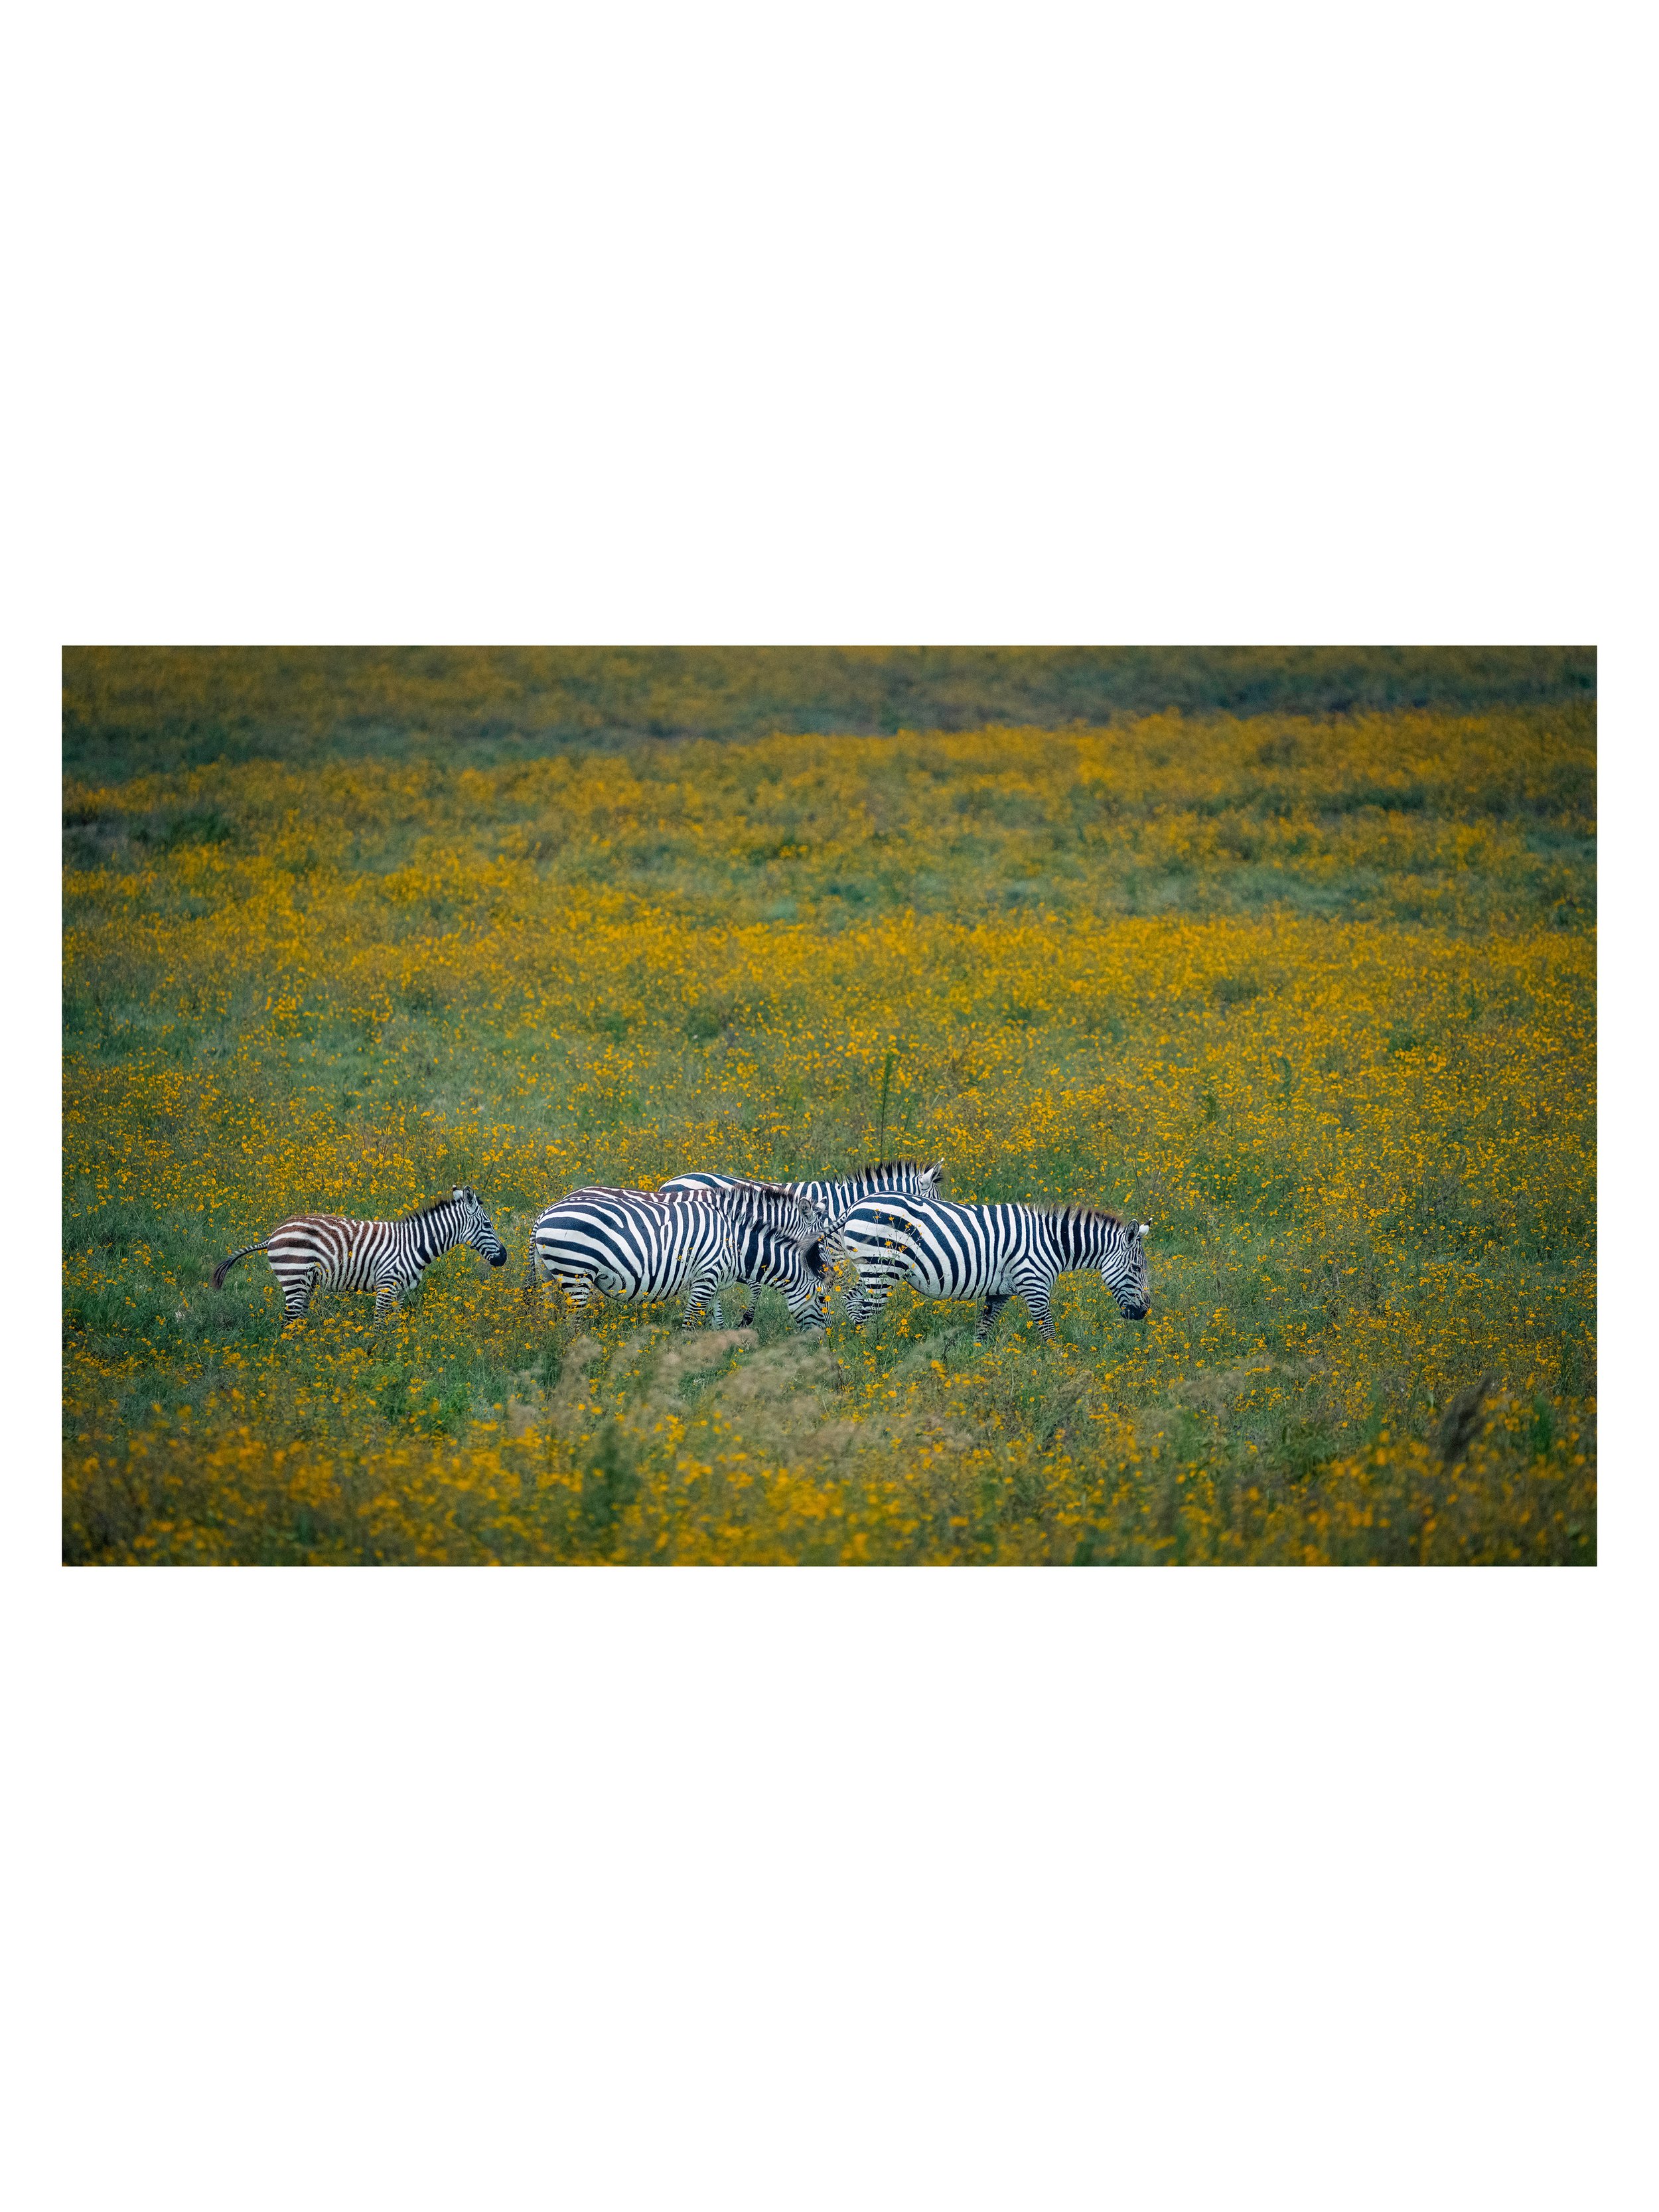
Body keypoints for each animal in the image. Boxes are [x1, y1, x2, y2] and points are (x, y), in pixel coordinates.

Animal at [212, 1186, 508, 1324]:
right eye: (487, 1225)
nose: (504, 1257)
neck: (415, 1244)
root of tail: (274, 1234)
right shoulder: (387, 1286)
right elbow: (378, 1325)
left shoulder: (401, 1292)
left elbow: (394, 1327)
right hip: (294, 1278)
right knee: (288, 1324)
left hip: (304, 1284)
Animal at [528, 1191, 828, 1333]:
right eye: (823, 1300)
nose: (826, 1338)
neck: (736, 1243)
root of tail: (545, 1213)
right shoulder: (706, 1278)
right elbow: (691, 1322)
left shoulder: (712, 1280)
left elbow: (716, 1319)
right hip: (575, 1274)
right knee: (573, 1324)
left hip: (550, 1276)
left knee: (551, 1317)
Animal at [839, 1196, 1151, 1343]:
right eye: (1136, 1269)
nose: (1143, 1313)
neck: (1053, 1243)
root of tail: (856, 1204)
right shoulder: (1034, 1286)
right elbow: (1049, 1332)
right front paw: (1060, 1368)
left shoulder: (1000, 1291)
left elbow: (984, 1329)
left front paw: (978, 1366)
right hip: (880, 1268)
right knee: (866, 1312)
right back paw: (872, 1356)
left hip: (872, 1268)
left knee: (851, 1301)